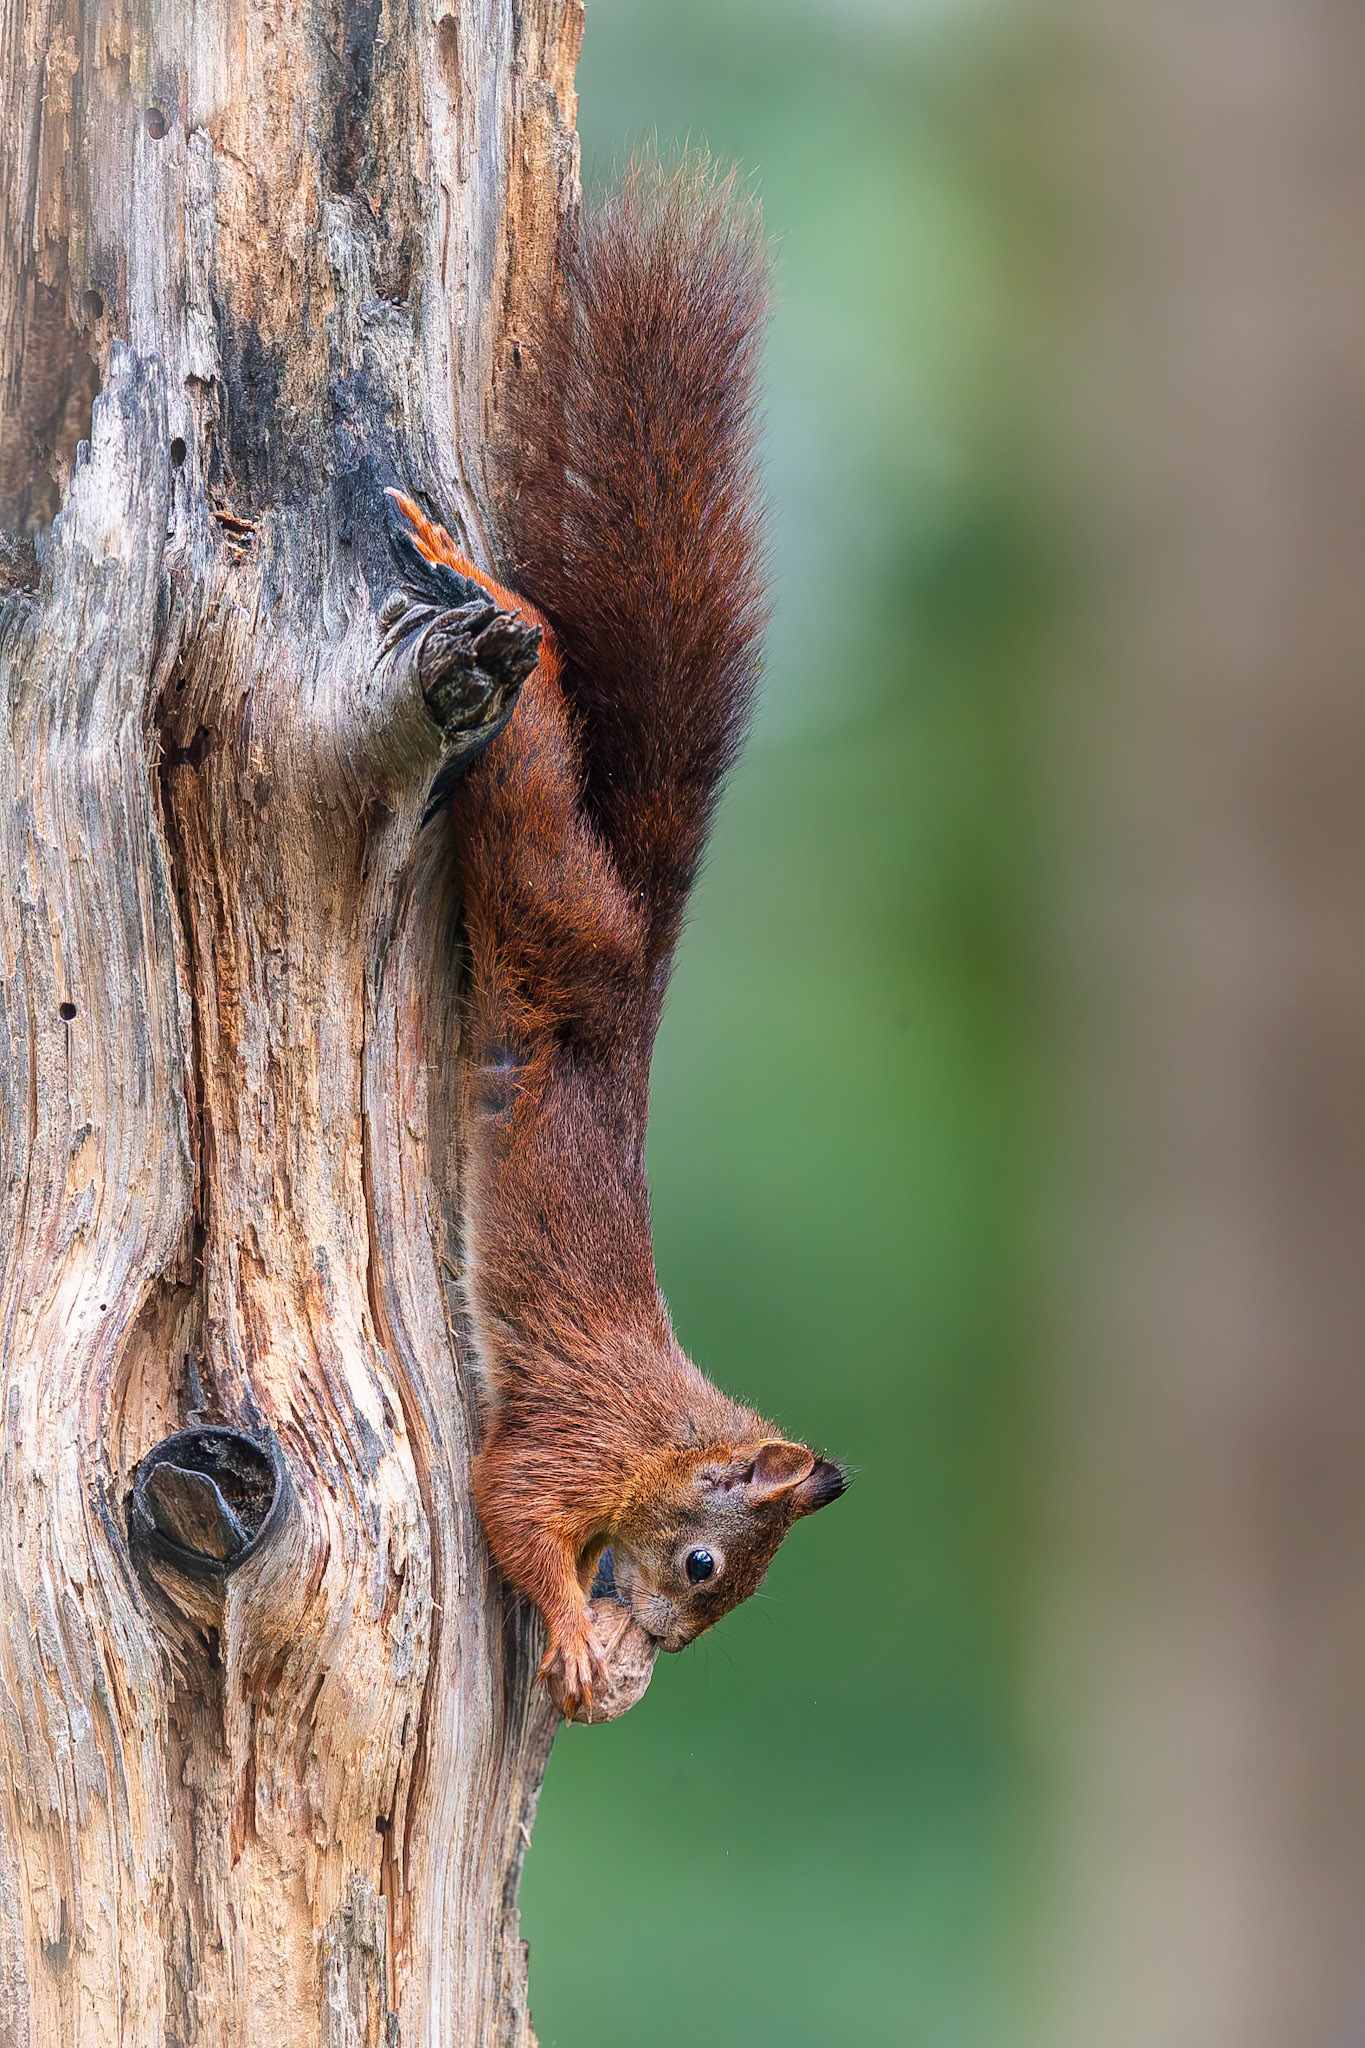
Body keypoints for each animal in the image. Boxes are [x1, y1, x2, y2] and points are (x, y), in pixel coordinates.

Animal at [387, 162, 844, 1719]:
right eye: (705, 1565)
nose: (660, 1638)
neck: (662, 1432)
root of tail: (640, 953)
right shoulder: (566, 1435)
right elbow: (506, 1505)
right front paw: (580, 1633)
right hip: (546, 878)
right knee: (531, 719)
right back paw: (478, 577)